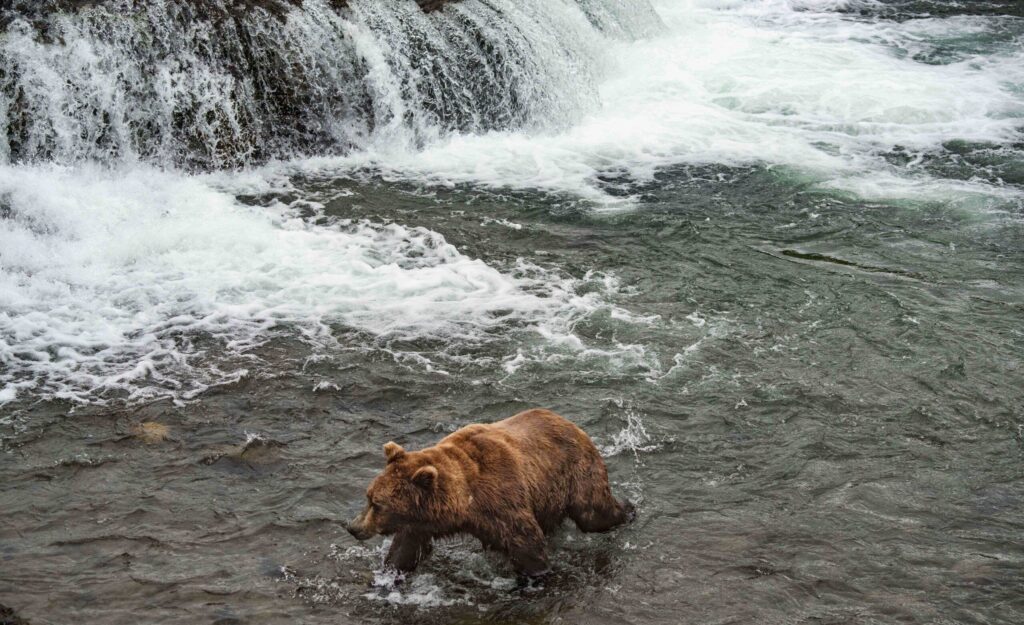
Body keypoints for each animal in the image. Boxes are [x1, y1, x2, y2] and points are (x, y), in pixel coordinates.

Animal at [345, 408, 634, 577]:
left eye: (377, 504)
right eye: (368, 497)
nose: (353, 527)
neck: (465, 503)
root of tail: (569, 421)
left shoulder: (503, 500)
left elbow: (526, 543)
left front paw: (537, 575)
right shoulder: (420, 523)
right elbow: (405, 550)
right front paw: (389, 574)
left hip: (575, 474)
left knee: (594, 513)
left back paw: (629, 508)